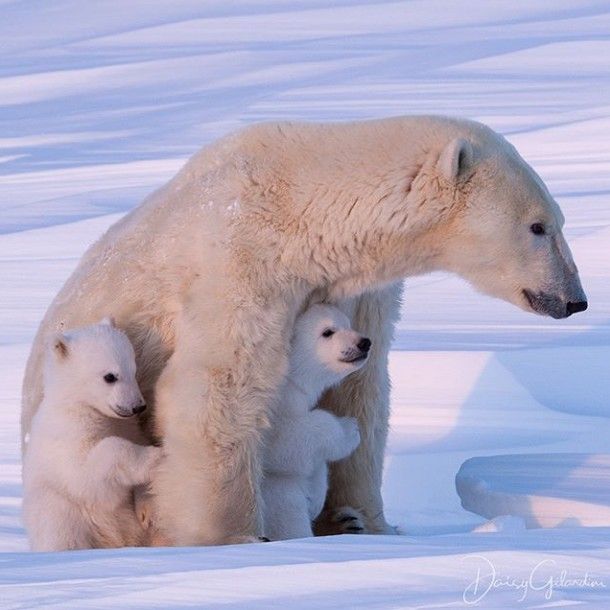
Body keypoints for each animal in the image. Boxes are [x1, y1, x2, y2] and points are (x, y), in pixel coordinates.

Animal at [21, 116, 588, 544]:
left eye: (558, 220)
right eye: (539, 226)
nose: (575, 299)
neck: (306, 207)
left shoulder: (360, 291)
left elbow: (361, 388)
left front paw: (362, 519)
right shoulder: (239, 260)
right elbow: (214, 389)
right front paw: (233, 536)